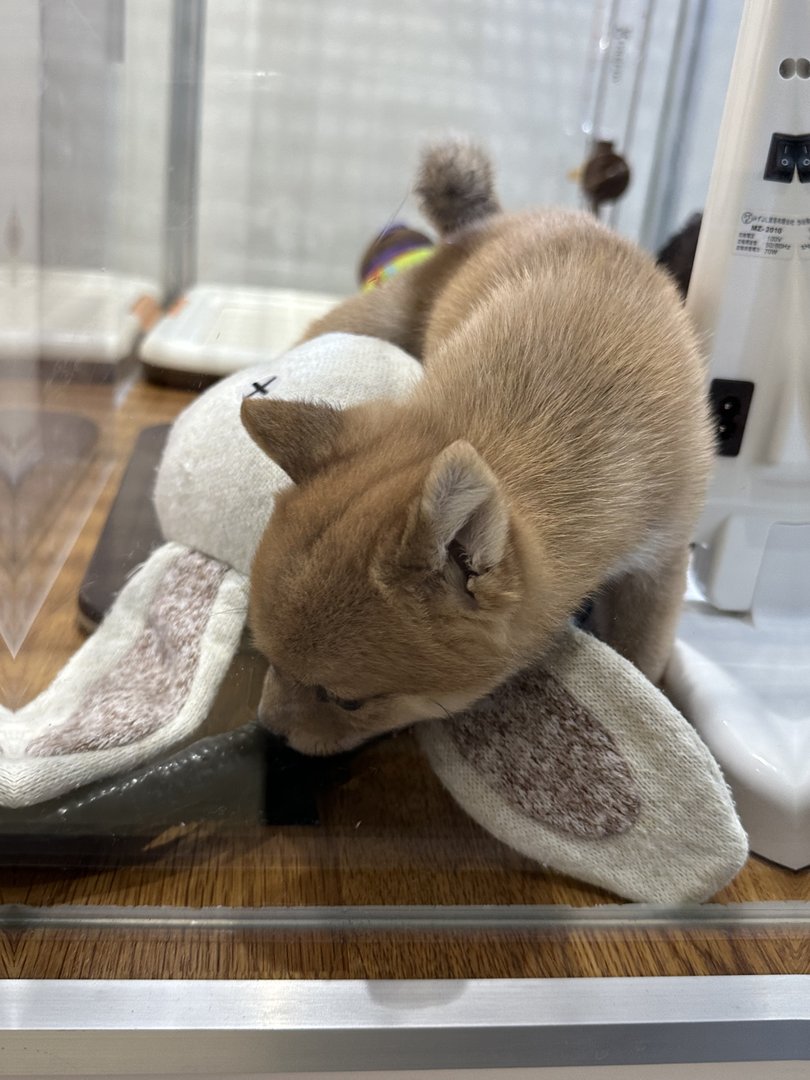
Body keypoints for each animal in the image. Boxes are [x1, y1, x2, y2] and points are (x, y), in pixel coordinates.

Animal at [244, 141, 712, 751]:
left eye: (348, 700)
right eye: (262, 655)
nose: (269, 729)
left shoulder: (659, 563)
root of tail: (488, 220)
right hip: (368, 319)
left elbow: (642, 653)